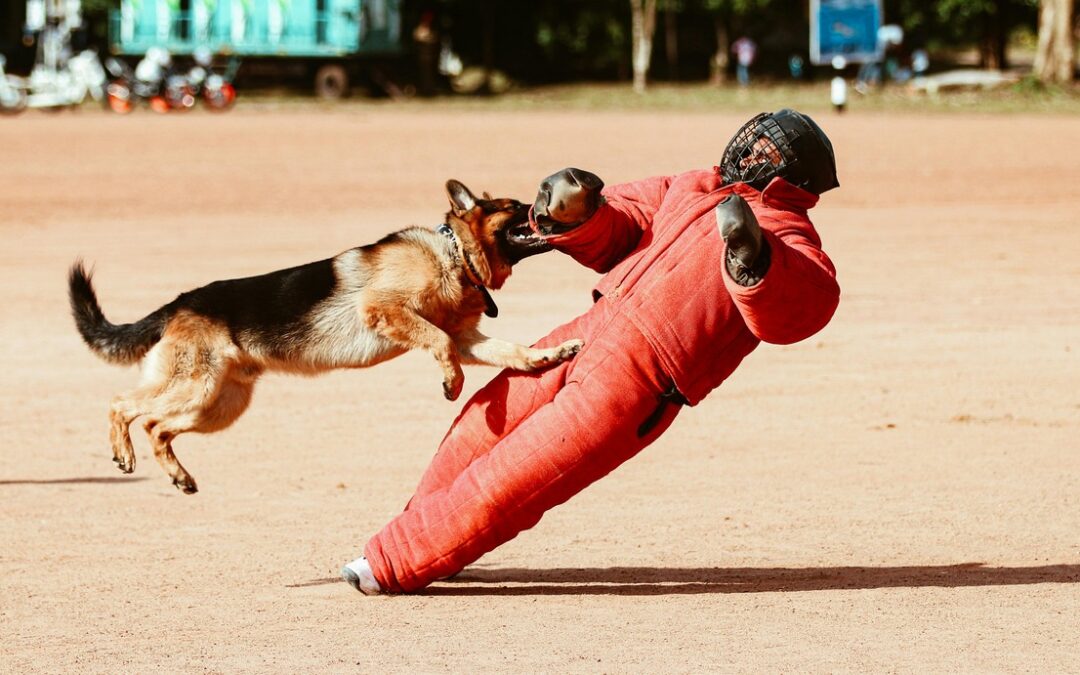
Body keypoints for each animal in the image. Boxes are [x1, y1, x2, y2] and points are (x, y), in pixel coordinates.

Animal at [69, 180, 583, 494]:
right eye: (513, 207)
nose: (544, 209)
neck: (451, 255)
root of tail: (178, 303)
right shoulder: (387, 310)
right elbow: (437, 343)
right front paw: (452, 384)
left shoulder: (466, 339)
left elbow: (511, 351)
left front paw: (550, 355)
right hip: (195, 387)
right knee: (123, 405)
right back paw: (123, 453)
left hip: (219, 405)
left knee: (158, 427)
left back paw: (180, 476)